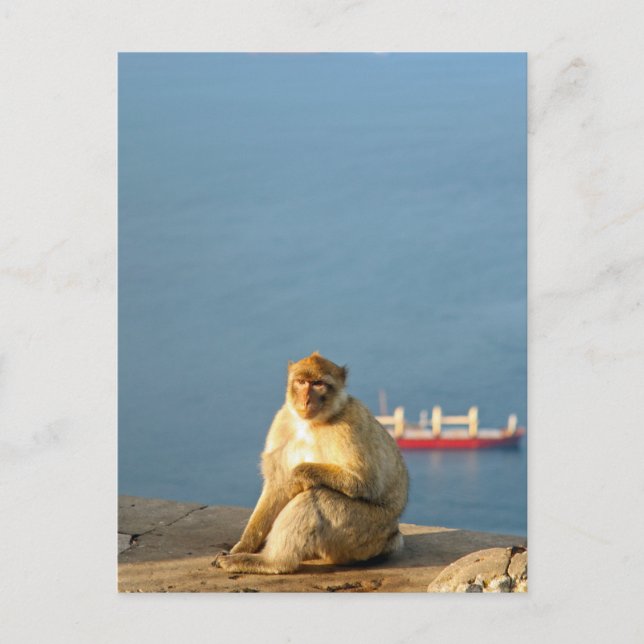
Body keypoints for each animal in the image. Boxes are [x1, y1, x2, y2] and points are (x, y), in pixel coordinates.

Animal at [213, 351, 409, 574]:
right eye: (301, 382)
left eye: (318, 384)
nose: (306, 400)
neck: (311, 423)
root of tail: (392, 537)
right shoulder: (282, 420)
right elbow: (277, 486)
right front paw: (243, 546)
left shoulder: (350, 425)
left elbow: (365, 482)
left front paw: (299, 473)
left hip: (367, 531)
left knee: (316, 497)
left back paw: (272, 562)